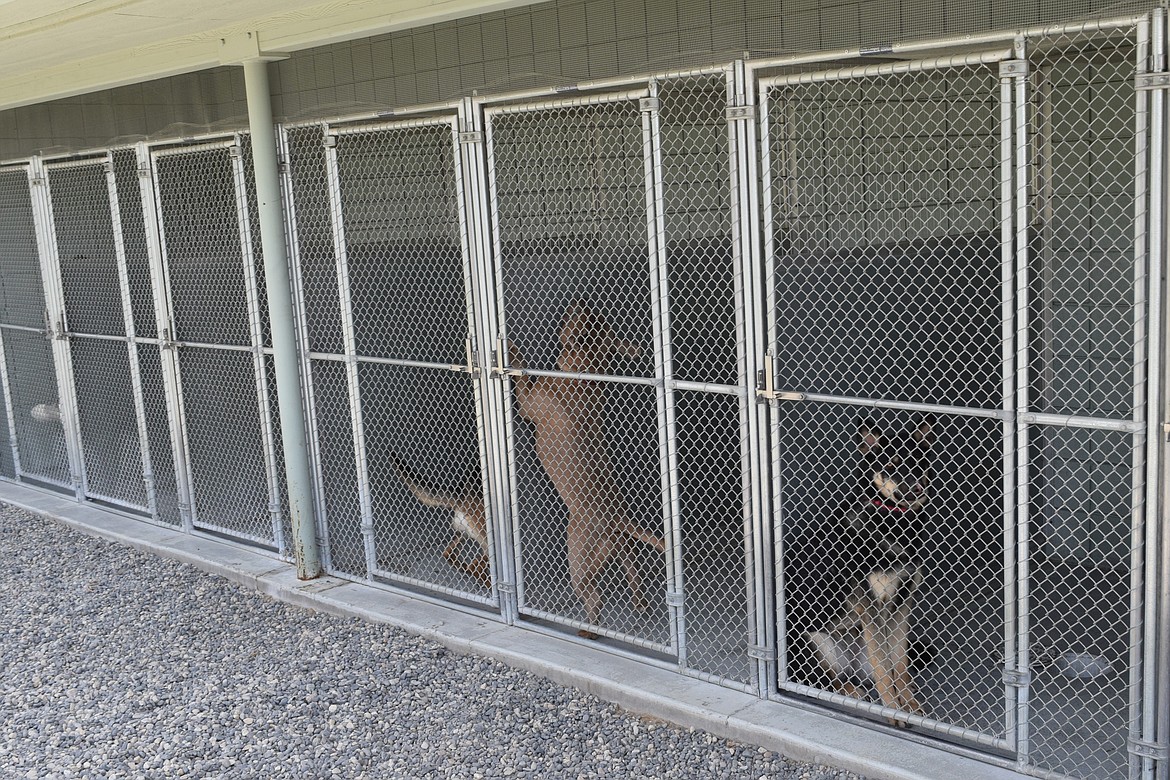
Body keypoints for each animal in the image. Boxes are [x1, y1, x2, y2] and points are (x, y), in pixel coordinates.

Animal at [512, 301, 669, 636]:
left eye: (583, 323)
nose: (581, 300)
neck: (585, 375)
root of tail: (615, 520)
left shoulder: (529, 403)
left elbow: (520, 379)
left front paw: (513, 354)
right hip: (621, 547)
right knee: (633, 570)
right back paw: (640, 604)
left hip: (579, 559)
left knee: (593, 597)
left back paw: (588, 630)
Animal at [809, 418, 935, 729]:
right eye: (891, 464)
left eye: (920, 463)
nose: (917, 489)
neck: (893, 521)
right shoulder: (873, 609)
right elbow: (884, 671)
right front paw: (893, 710)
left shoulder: (902, 604)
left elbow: (899, 665)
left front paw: (909, 704)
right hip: (818, 641)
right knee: (821, 677)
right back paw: (848, 689)